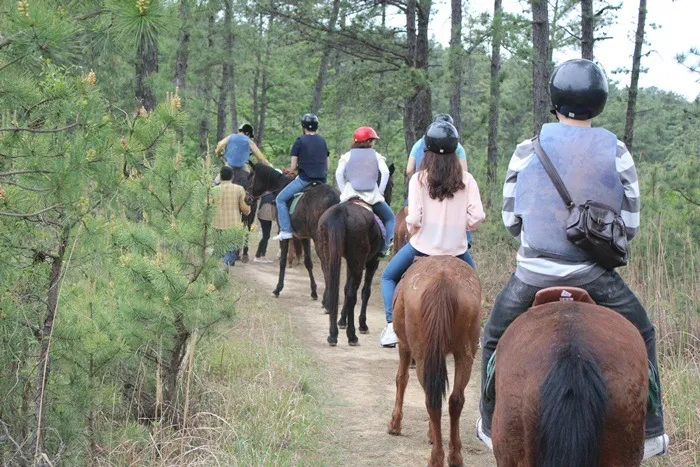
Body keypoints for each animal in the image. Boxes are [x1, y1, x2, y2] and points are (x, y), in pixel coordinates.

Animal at [247, 165, 340, 300]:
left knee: (326, 264)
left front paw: (278, 288)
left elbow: (283, 261)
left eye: (250, 178)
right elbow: (308, 263)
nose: (247, 199)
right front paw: (313, 291)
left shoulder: (284, 234)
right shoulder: (304, 237)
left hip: (320, 240)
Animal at [388, 256, 482, 467]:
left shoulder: (404, 346)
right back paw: (455, 456)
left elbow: (401, 379)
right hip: (465, 354)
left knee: (431, 400)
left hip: (422, 354)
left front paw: (395, 424)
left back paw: (436, 457)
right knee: (455, 399)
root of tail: (442, 279)